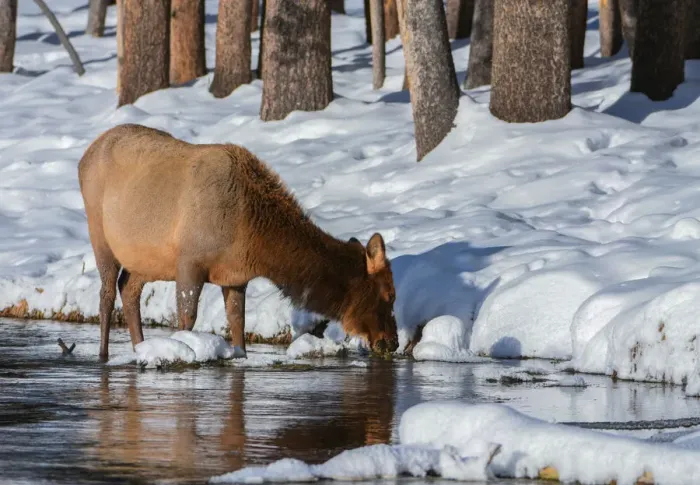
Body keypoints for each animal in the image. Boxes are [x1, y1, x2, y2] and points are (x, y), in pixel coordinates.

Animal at [78, 124, 399, 361]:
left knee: (128, 288)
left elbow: (237, 325)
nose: (393, 341)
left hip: (144, 259)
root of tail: (85, 156)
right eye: (389, 294)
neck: (251, 235)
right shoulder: (189, 261)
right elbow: (187, 318)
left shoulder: (235, 277)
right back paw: (103, 354)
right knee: (107, 293)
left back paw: (139, 349)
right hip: (99, 234)